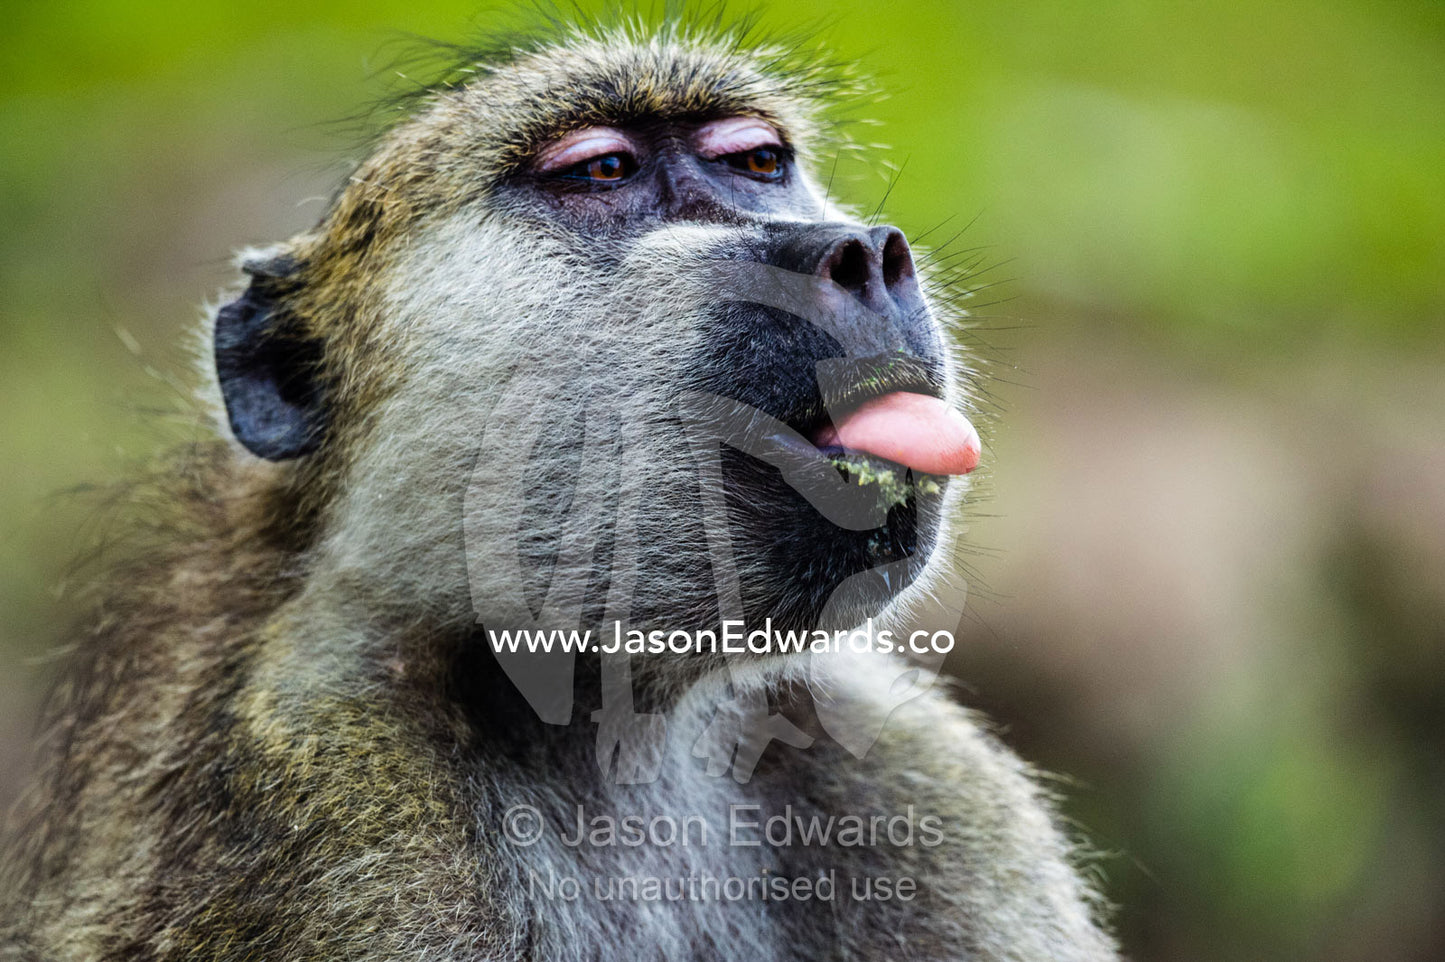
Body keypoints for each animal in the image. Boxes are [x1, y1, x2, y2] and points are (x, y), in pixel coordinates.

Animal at [0, 20, 1118, 962]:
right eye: (602, 171)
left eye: (757, 162)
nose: (863, 254)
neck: (615, 724)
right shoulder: (339, 803)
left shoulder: (919, 780)